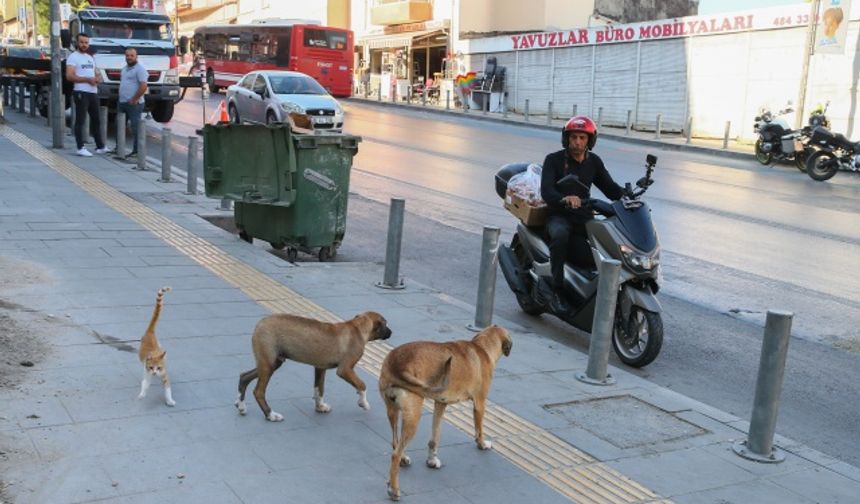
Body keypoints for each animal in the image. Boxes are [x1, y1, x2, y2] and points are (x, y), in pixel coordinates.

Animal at [233, 312, 392, 422]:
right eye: (385, 324)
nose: (391, 332)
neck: (357, 327)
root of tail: (259, 324)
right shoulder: (345, 370)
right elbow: (362, 385)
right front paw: (363, 403)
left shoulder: (320, 368)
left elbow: (319, 389)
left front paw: (320, 407)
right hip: (268, 365)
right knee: (259, 391)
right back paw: (271, 415)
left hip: (271, 363)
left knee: (244, 376)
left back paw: (241, 405)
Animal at [376, 324, 510, 502]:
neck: (481, 347)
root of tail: (397, 364)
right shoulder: (480, 404)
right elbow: (479, 430)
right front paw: (482, 444)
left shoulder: (440, 404)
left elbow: (435, 436)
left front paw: (432, 460)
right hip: (413, 417)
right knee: (394, 454)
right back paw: (394, 489)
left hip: (393, 411)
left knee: (395, 442)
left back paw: (402, 460)